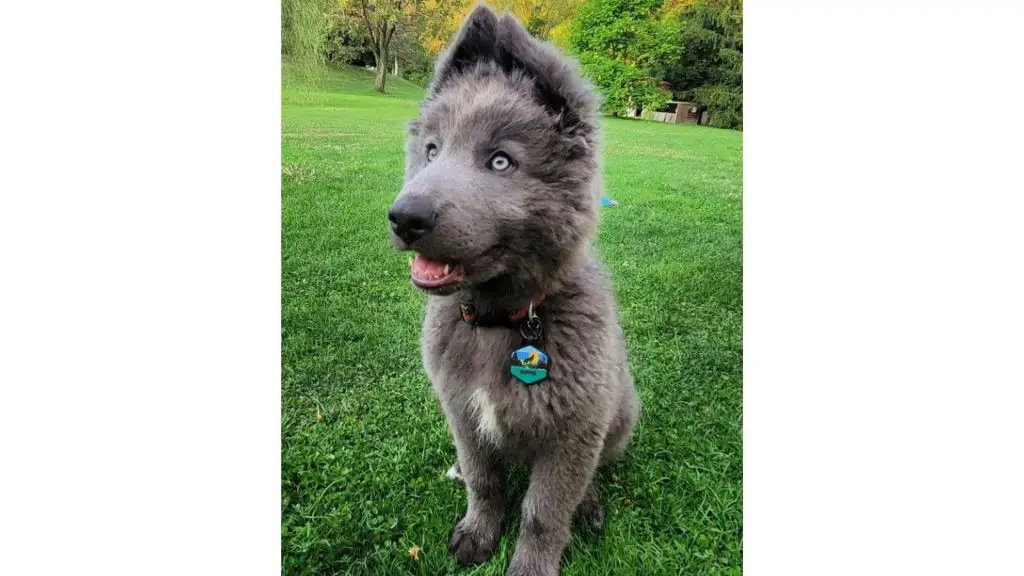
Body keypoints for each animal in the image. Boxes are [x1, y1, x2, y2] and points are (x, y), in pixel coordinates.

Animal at [387, 5, 634, 573]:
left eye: (501, 161)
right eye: (430, 151)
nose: (404, 217)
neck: (502, 320)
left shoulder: (573, 434)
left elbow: (544, 511)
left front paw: (530, 563)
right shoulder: (463, 415)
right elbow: (483, 481)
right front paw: (478, 532)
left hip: (620, 414)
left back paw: (589, 504)